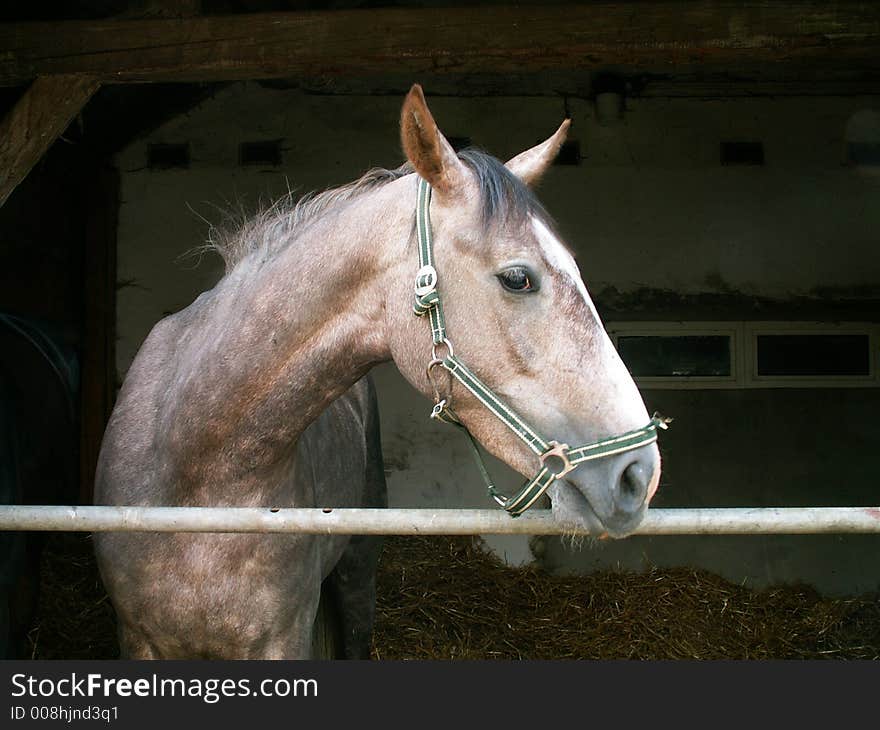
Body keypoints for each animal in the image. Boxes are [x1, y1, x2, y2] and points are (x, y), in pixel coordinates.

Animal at [93, 85, 664, 660]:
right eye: (518, 278)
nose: (639, 474)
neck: (200, 466)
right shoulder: (136, 638)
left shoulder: (285, 637)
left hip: (358, 569)